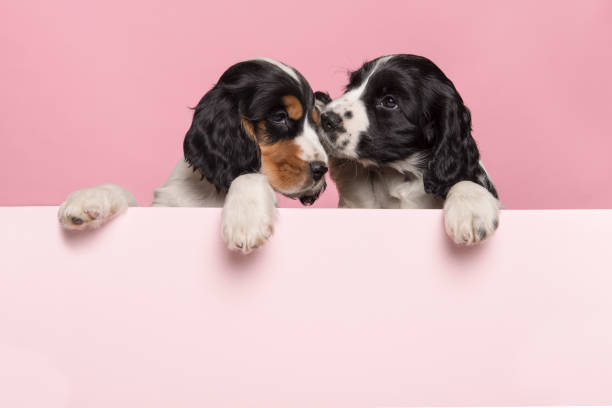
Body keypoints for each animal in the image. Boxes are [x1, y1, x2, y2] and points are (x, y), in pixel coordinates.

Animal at [57, 58, 328, 253]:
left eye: (317, 123)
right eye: (279, 117)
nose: (321, 170)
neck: (213, 192)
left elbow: (249, 176)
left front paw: (245, 220)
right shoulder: (164, 209)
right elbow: (127, 195)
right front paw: (89, 199)